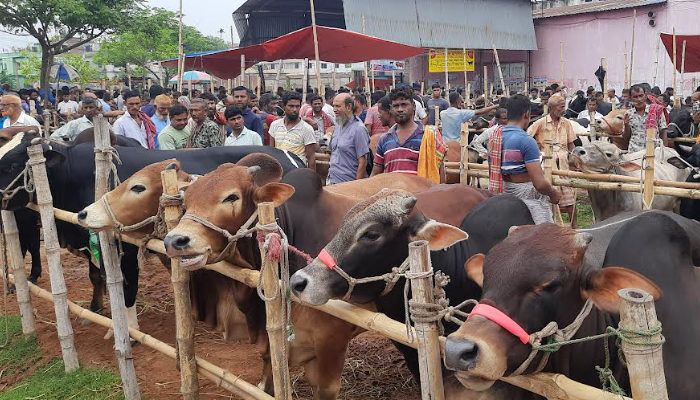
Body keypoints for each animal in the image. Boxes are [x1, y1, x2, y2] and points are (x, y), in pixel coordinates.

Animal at [0, 133, 304, 336]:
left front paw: (129, 331)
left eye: (13, 165)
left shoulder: (125, 247)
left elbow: (127, 288)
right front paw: (95, 309)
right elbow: (95, 276)